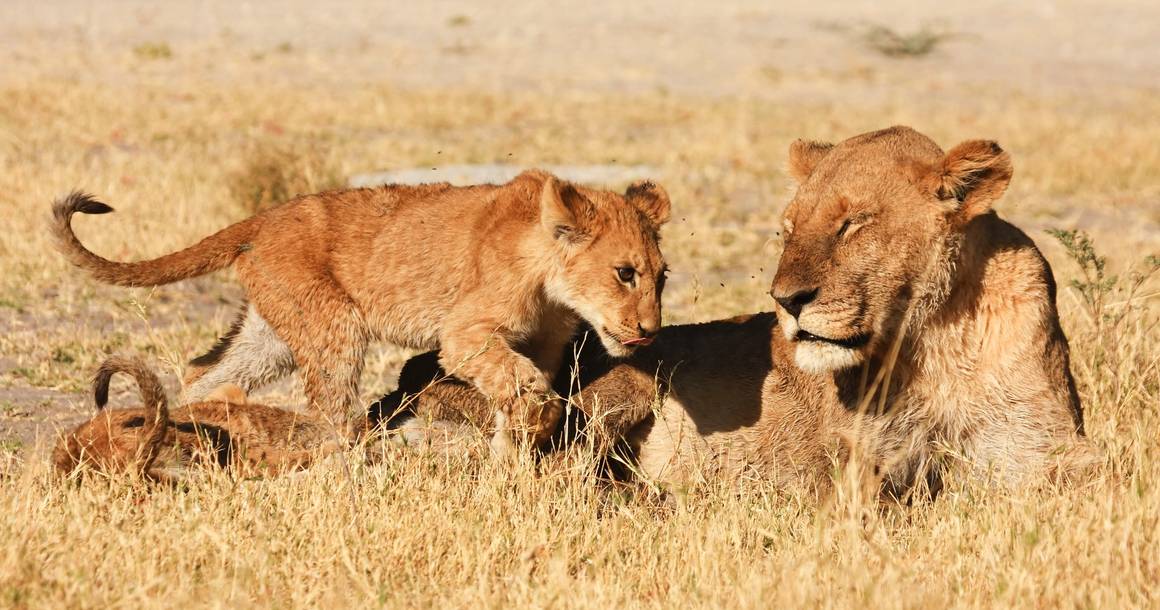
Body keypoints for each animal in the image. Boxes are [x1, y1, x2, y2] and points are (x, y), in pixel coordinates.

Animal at [51, 170, 670, 451]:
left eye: (662, 277)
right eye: (625, 273)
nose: (648, 332)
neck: (552, 283)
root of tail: (264, 217)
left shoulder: (541, 341)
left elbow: (524, 381)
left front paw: (516, 442)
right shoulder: (464, 331)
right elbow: (520, 382)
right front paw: (530, 425)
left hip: (272, 334)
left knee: (203, 371)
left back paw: (196, 421)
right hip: (334, 324)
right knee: (328, 411)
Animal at [377, 127, 1099, 497]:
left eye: (853, 224)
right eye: (790, 227)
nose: (786, 301)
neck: (930, 339)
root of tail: (404, 385)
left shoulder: (1043, 454)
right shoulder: (843, 466)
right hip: (620, 381)